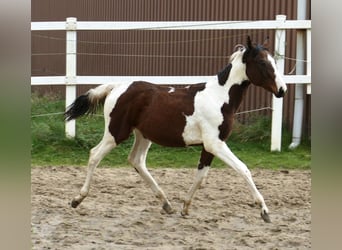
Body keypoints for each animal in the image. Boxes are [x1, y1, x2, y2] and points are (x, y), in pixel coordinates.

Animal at [64, 36, 286, 223]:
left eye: (273, 62)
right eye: (263, 63)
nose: (282, 90)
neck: (220, 98)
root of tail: (116, 87)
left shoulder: (209, 146)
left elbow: (200, 177)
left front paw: (185, 208)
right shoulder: (215, 144)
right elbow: (243, 169)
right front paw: (264, 211)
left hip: (143, 135)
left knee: (136, 161)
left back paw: (166, 204)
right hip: (116, 133)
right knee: (95, 155)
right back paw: (77, 199)